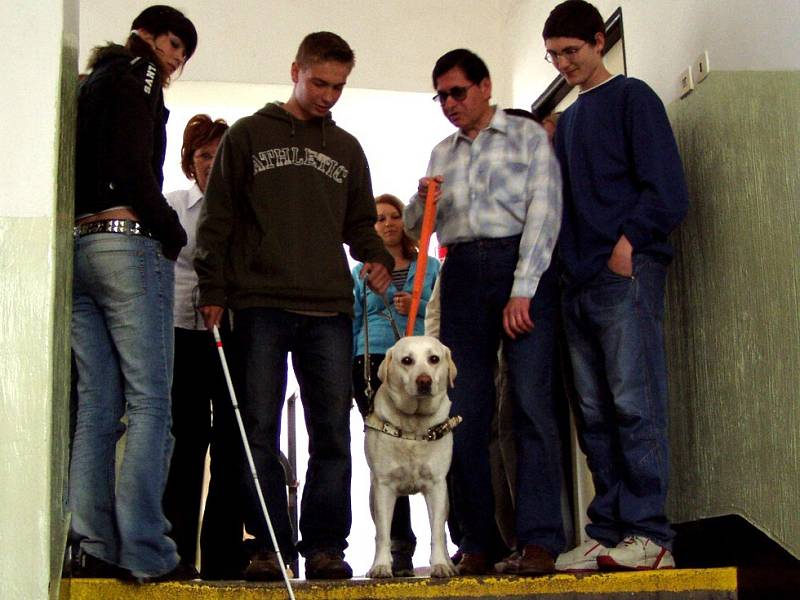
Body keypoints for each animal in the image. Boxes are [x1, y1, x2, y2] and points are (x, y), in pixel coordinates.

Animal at [366, 336, 460, 580]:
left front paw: (440, 565)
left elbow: (437, 532)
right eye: (407, 360)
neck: (414, 426)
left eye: (434, 359)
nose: (424, 380)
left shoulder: (436, 486)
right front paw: (381, 566)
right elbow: (383, 534)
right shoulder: (384, 487)